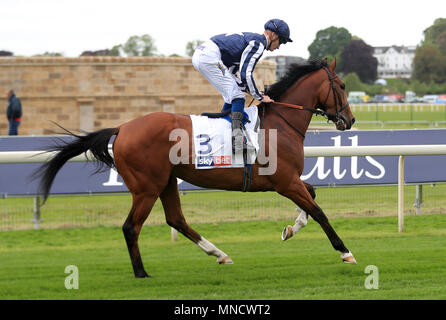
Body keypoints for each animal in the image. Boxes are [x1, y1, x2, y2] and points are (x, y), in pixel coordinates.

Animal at [34, 57, 356, 278]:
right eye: (341, 86)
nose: (350, 120)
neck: (279, 124)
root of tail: (122, 127)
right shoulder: (285, 181)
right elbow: (318, 210)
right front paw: (345, 252)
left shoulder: (289, 180)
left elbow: (312, 196)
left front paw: (290, 229)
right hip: (147, 187)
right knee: (131, 226)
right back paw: (141, 272)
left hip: (165, 181)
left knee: (176, 219)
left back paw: (219, 254)